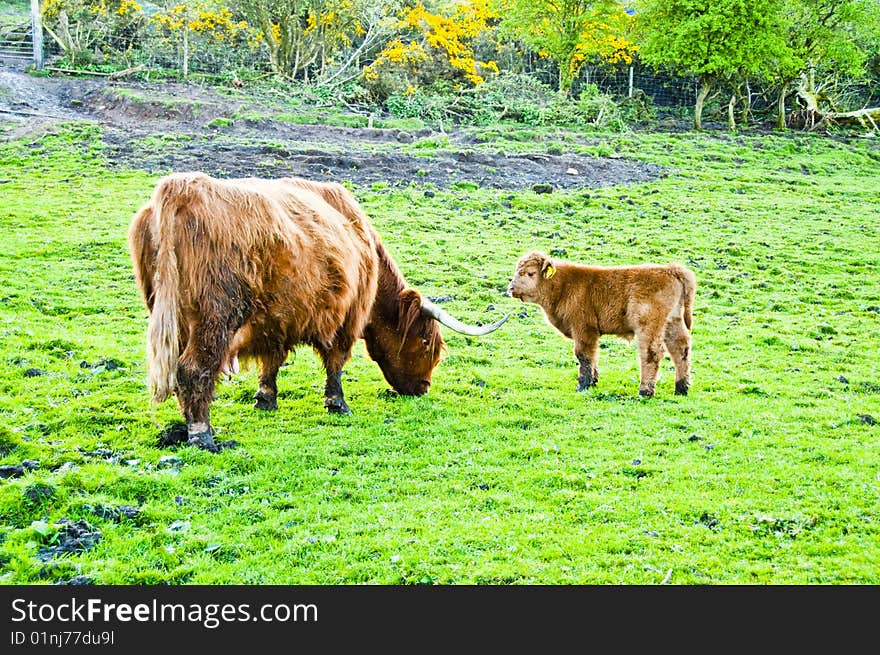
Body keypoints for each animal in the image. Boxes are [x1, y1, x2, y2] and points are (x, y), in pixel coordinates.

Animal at [126, 174, 506, 452]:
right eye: (427, 343)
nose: (423, 387)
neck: (363, 243)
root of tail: (181, 188)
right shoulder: (347, 316)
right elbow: (336, 361)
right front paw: (338, 404)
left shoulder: (275, 321)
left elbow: (272, 361)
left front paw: (265, 399)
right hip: (215, 320)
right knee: (194, 370)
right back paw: (202, 434)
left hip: (172, 316)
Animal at [508, 251, 696, 398]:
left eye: (530, 273)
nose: (510, 289)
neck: (564, 286)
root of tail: (671, 269)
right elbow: (593, 356)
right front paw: (593, 381)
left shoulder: (583, 329)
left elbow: (583, 355)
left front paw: (583, 385)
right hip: (672, 322)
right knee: (681, 349)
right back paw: (681, 388)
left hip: (649, 326)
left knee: (651, 353)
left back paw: (645, 391)